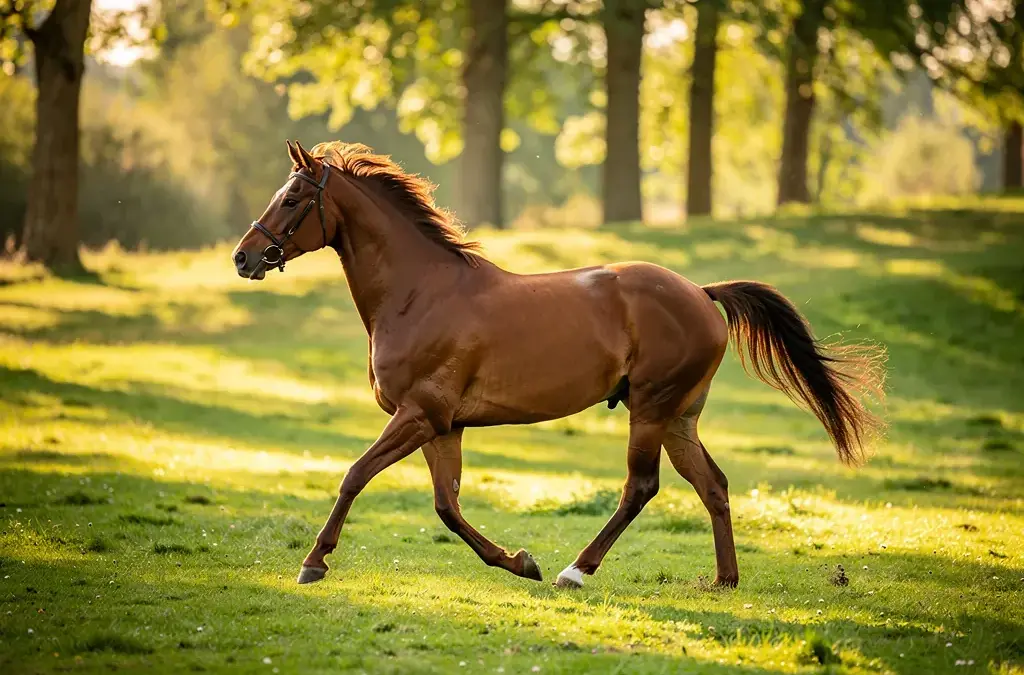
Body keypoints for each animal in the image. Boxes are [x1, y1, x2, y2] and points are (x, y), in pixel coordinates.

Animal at [231, 140, 885, 589]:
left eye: (293, 198)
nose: (243, 257)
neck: (421, 294)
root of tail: (702, 293)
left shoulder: (418, 414)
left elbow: (355, 475)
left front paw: (313, 563)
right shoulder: (444, 427)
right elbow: (447, 507)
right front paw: (519, 562)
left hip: (651, 408)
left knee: (641, 487)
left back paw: (578, 570)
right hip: (679, 417)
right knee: (713, 485)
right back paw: (724, 581)